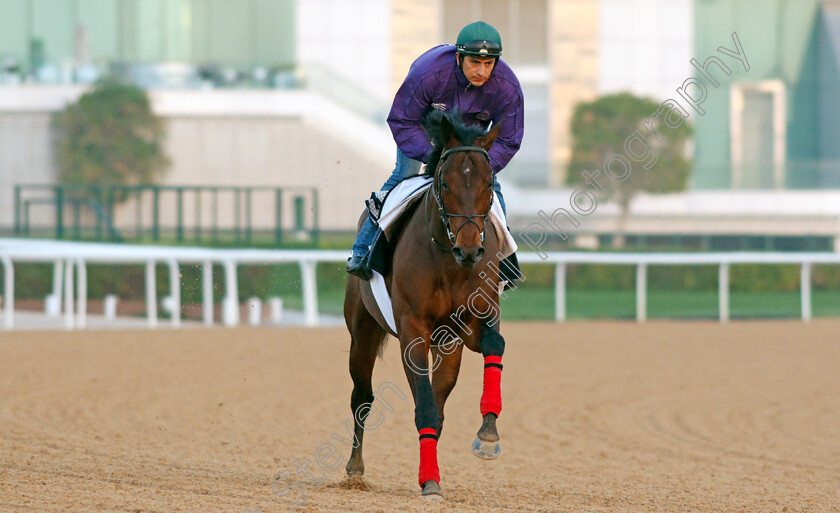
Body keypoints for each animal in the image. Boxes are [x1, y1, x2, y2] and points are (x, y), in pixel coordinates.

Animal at [344, 110, 508, 498]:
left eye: (489, 183)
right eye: (444, 183)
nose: (469, 249)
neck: (449, 261)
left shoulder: (471, 323)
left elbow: (495, 344)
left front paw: (488, 433)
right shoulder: (413, 329)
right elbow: (424, 407)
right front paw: (430, 481)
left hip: (446, 345)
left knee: (438, 397)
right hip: (362, 332)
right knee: (362, 397)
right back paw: (355, 469)